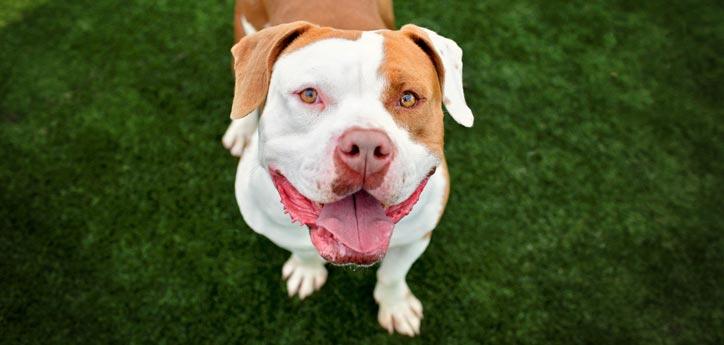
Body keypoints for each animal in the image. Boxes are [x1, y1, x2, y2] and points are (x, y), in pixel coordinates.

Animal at [221, 0, 476, 334]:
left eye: (408, 98)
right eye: (309, 94)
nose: (366, 147)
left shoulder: (417, 235)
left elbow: (393, 273)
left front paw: (395, 305)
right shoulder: (274, 226)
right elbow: (302, 248)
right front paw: (307, 269)